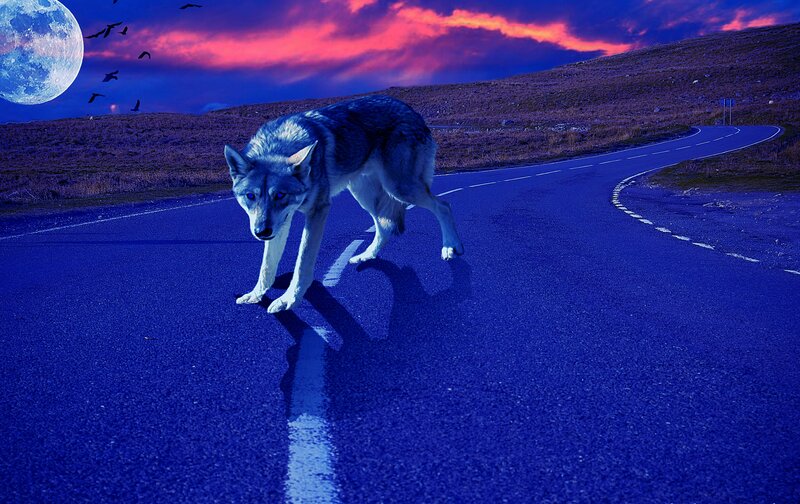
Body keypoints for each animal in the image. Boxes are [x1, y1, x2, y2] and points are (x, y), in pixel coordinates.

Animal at [224, 95, 464, 313]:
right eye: (250, 196)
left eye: (280, 195)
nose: (261, 232)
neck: (280, 144)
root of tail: (413, 112)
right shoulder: (280, 224)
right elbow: (267, 266)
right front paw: (255, 295)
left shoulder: (318, 210)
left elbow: (302, 262)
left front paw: (288, 300)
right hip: (365, 195)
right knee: (385, 225)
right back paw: (367, 255)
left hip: (401, 188)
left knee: (444, 205)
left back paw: (451, 247)